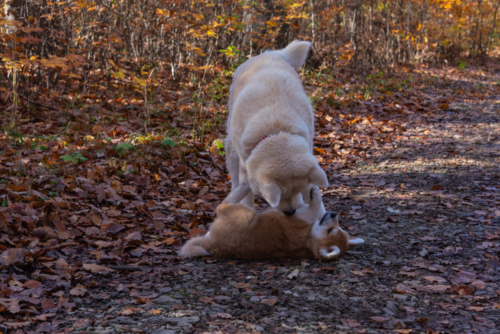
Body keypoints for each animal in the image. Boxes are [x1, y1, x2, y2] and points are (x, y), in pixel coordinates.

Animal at [180, 185, 364, 260]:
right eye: (336, 228)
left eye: (330, 230)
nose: (334, 214)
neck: (308, 238)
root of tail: (213, 245)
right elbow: (316, 206)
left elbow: (316, 205)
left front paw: (315, 193)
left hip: (240, 211)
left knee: (224, 203)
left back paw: (243, 186)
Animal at [226, 39, 328, 214]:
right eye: (281, 196)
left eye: (296, 190)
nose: (290, 212)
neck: (276, 129)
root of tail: (270, 54)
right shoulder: (245, 169)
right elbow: (247, 197)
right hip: (233, 151)